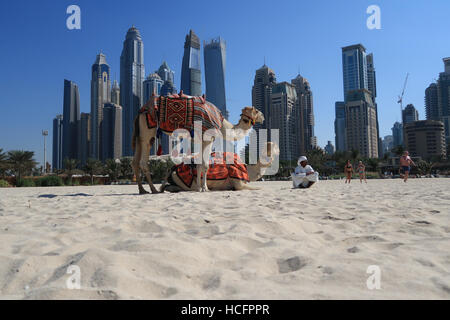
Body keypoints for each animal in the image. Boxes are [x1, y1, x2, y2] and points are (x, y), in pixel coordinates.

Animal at [130, 91, 264, 194]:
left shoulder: (201, 139)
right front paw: (204, 188)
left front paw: (200, 187)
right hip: (148, 130)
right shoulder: (209, 137)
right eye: (257, 111)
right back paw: (153, 190)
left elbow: (200, 163)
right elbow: (205, 164)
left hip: (139, 134)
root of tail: (141, 111)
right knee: (143, 161)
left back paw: (142, 190)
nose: (263, 116)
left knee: (135, 161)